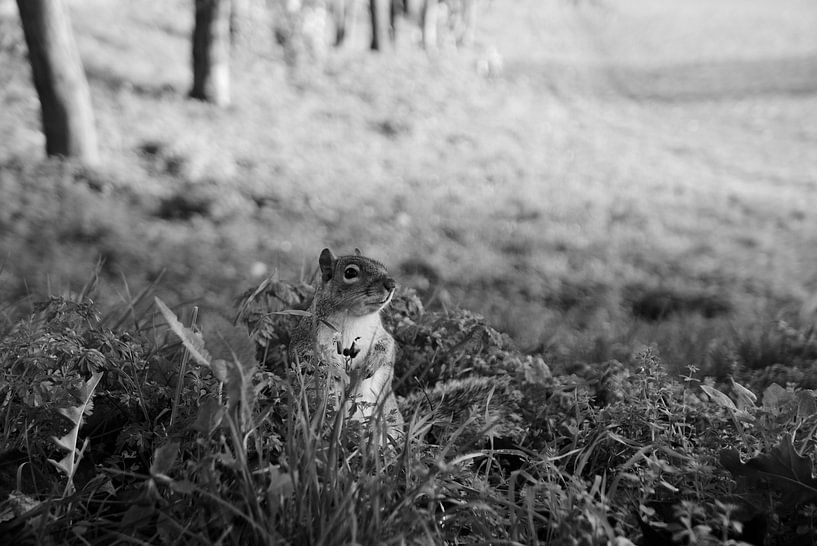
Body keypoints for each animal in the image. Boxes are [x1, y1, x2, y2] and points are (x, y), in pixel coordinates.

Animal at [288, 246, 404, 438]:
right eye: (350, 272)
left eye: (383, 267)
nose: (392, 284)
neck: (354, 316)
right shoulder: (309, 337)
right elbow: (311, 357)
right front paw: (339, 370)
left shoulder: (380, 334)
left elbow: (387, 347)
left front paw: (370, 365)